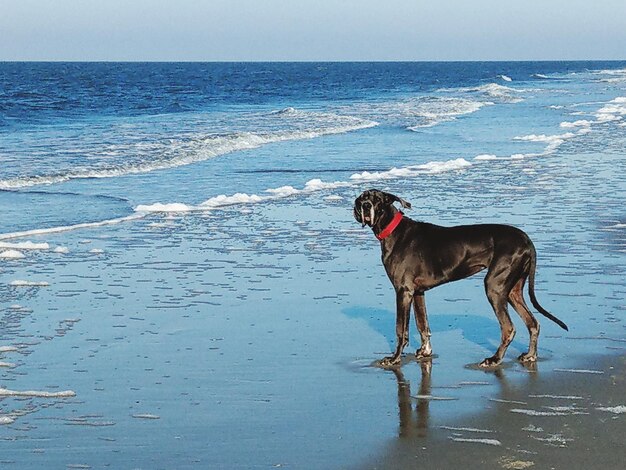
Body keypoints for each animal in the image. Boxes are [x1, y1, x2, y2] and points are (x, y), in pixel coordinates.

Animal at [354, 188, 568, 368]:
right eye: (362, 198)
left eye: (377, 200)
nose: (365, 206)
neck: (394, 231)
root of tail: (526, 240)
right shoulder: (418, 292)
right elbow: (422, 324)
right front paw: (425, 351)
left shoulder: (403, 291)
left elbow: (401, 329)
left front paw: (394, 358)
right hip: (512, 290)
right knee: (533, 322)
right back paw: (530, 355)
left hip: (494, 286)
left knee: (508, 328)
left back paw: (494, 359)